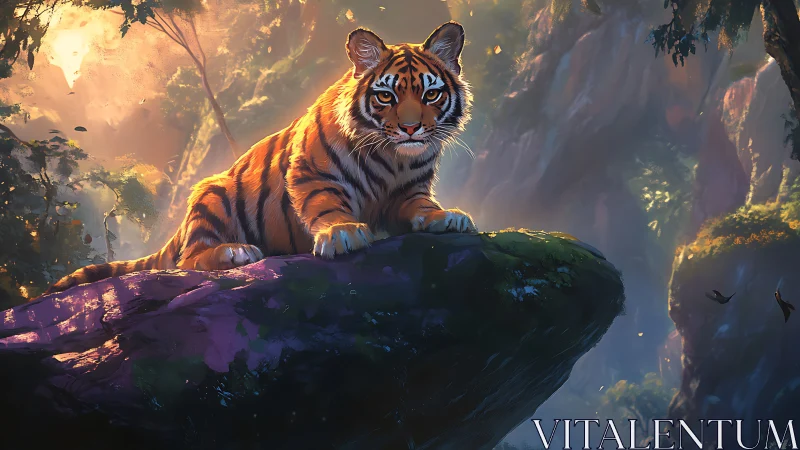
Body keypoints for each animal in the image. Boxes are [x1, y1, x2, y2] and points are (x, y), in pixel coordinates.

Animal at [43, 21, 476, 296]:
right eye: (386, 95)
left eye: (430, 94)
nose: (410, 130)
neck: (394, 158)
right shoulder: (310, 172)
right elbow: (325, 204)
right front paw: (343, 231)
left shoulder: (410, 190)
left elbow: (422, 207)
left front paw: (447, 217)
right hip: (213, 193)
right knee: (189, 258)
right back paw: (236, 251)